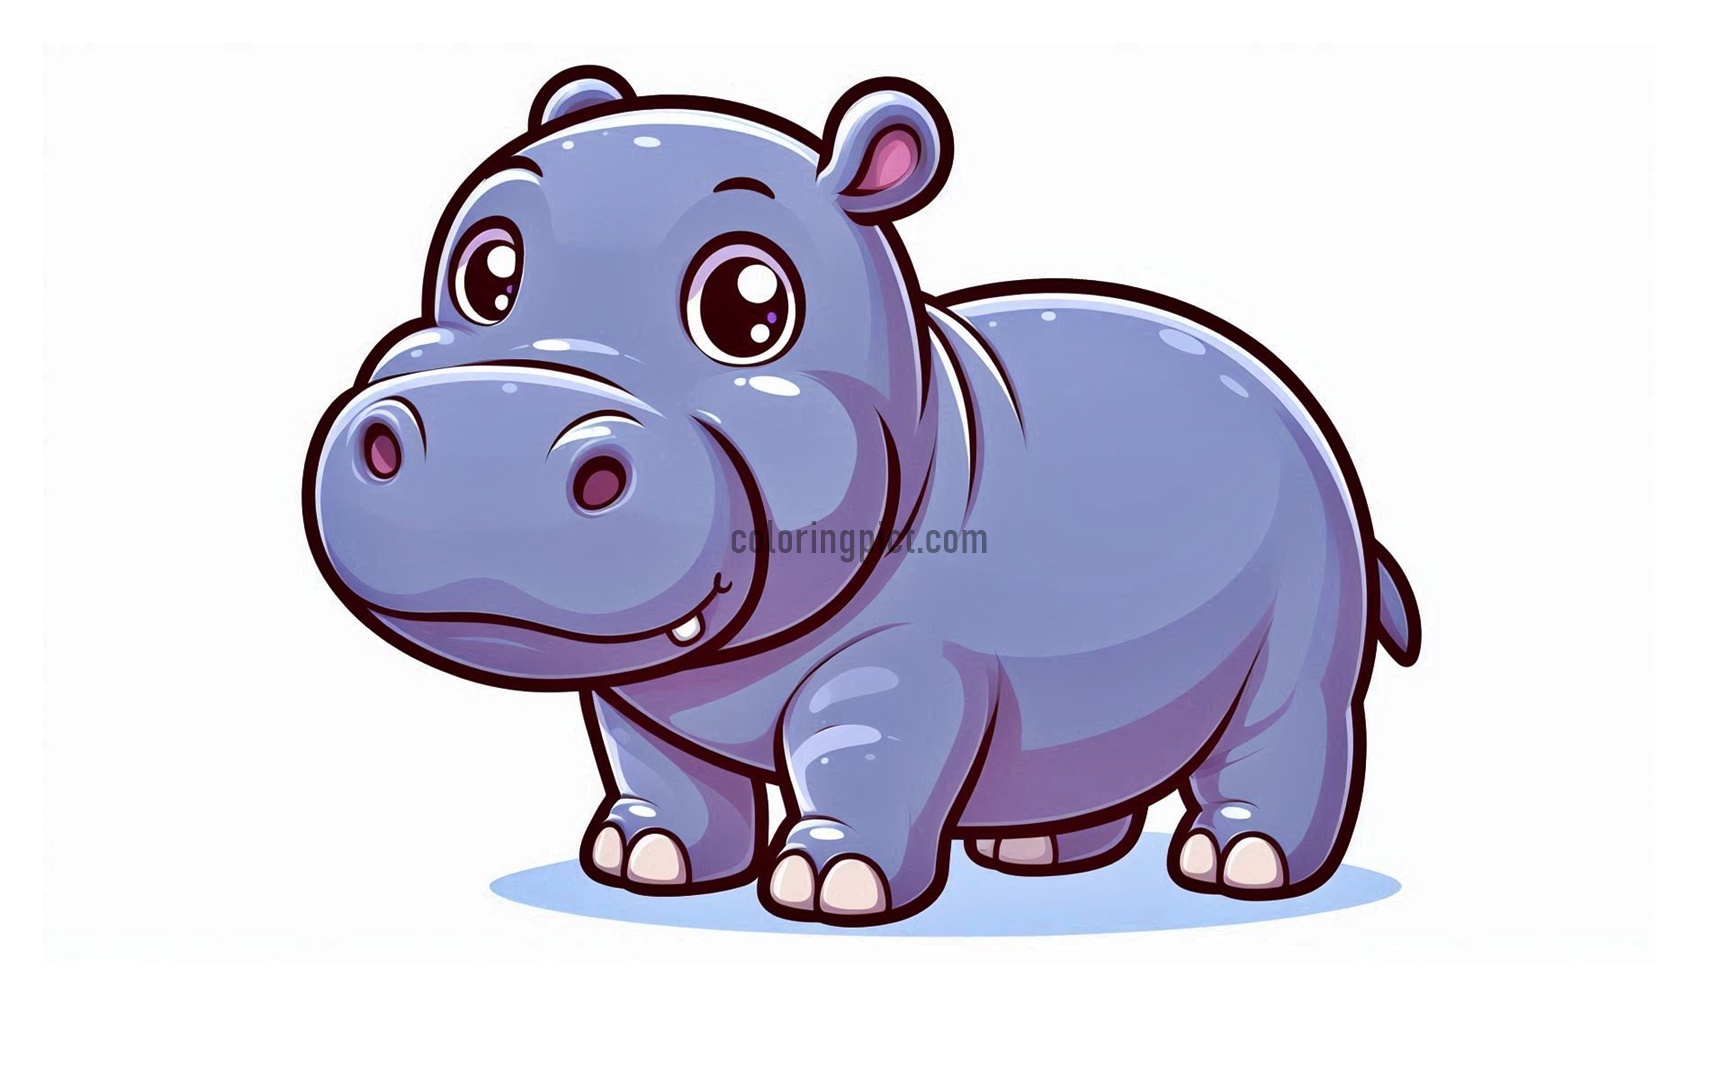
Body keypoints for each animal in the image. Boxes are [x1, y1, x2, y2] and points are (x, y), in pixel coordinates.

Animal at [303, 66, 1421, 926]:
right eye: (487, 268)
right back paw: (1040, 852)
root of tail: (1282, 390)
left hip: (1307, 616)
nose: (487, 433)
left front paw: (828, 885)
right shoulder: (632, 696)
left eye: (748, 303)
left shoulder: (906, 661)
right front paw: (643, 863)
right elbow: (661, 771)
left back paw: (1241, 866)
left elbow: (867, 752)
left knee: (1286, 732)